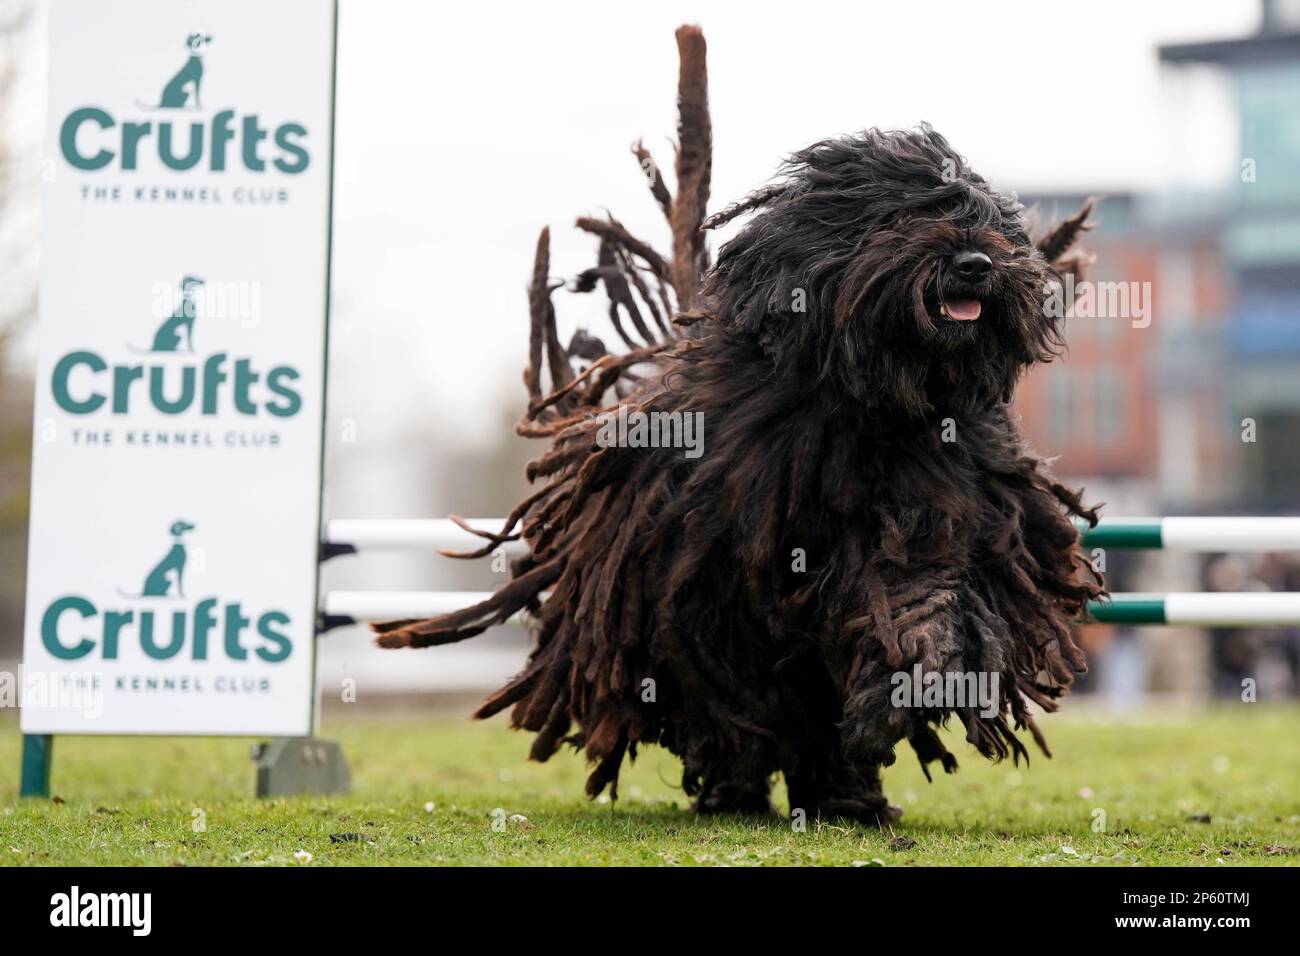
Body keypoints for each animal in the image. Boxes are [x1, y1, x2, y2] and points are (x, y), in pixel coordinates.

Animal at [371, 26, 1102, 827]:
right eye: (902, 215)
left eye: (985, 220)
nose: (973, 262)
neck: (866, 404)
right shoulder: (713, 570)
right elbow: (731, 679)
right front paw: (754, 766)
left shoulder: (937, 508)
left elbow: (926, 599)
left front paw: (892, 701)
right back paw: (743, 788)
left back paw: (846, 794)